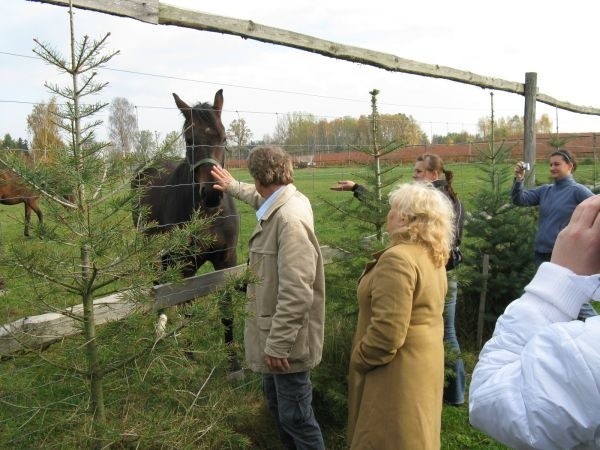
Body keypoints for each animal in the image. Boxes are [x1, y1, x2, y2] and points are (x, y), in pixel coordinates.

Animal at [132, 89, 240, 374]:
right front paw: (191, 357)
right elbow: (188, 306)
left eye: (223, 137)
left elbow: (227, 309)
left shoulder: (226, 261)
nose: (212, 193)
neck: (208, 216)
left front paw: (234, 363)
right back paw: (160, 329)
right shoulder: (186, 265)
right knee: (158, 283)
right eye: (189, 140)